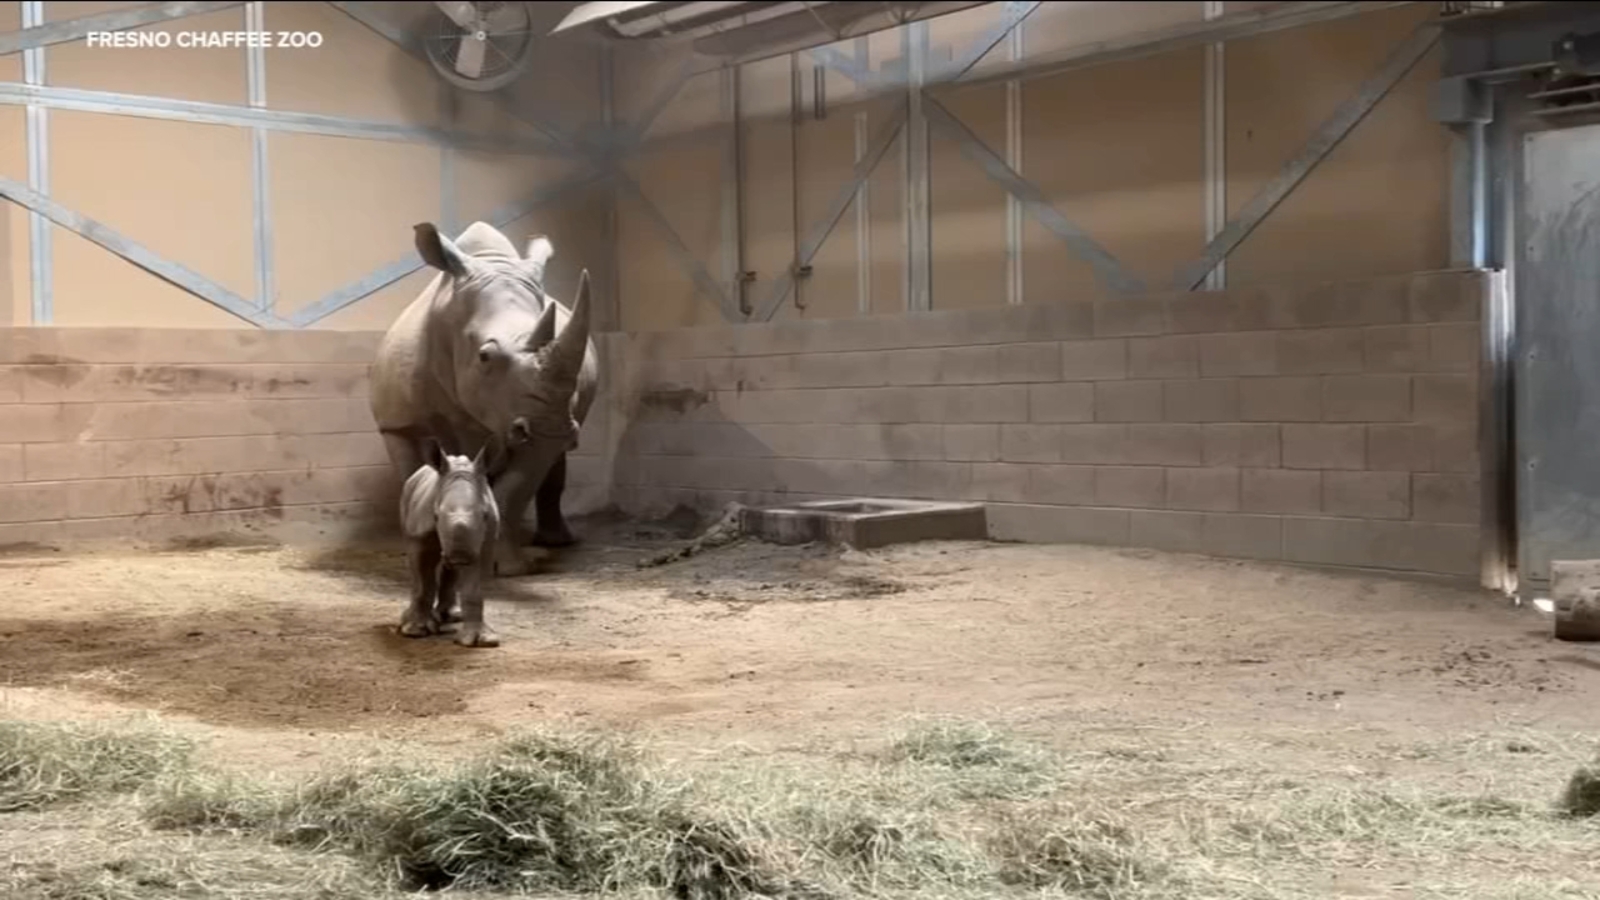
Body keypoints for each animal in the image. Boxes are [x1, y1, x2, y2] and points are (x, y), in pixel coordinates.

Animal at [369, 220, 599, 577]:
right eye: (484, 355)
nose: (557, 429)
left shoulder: (537, 419)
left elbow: (515, 489)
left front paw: (506, 568)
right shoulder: (398, 423)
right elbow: (411, 478)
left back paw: (556, 542)